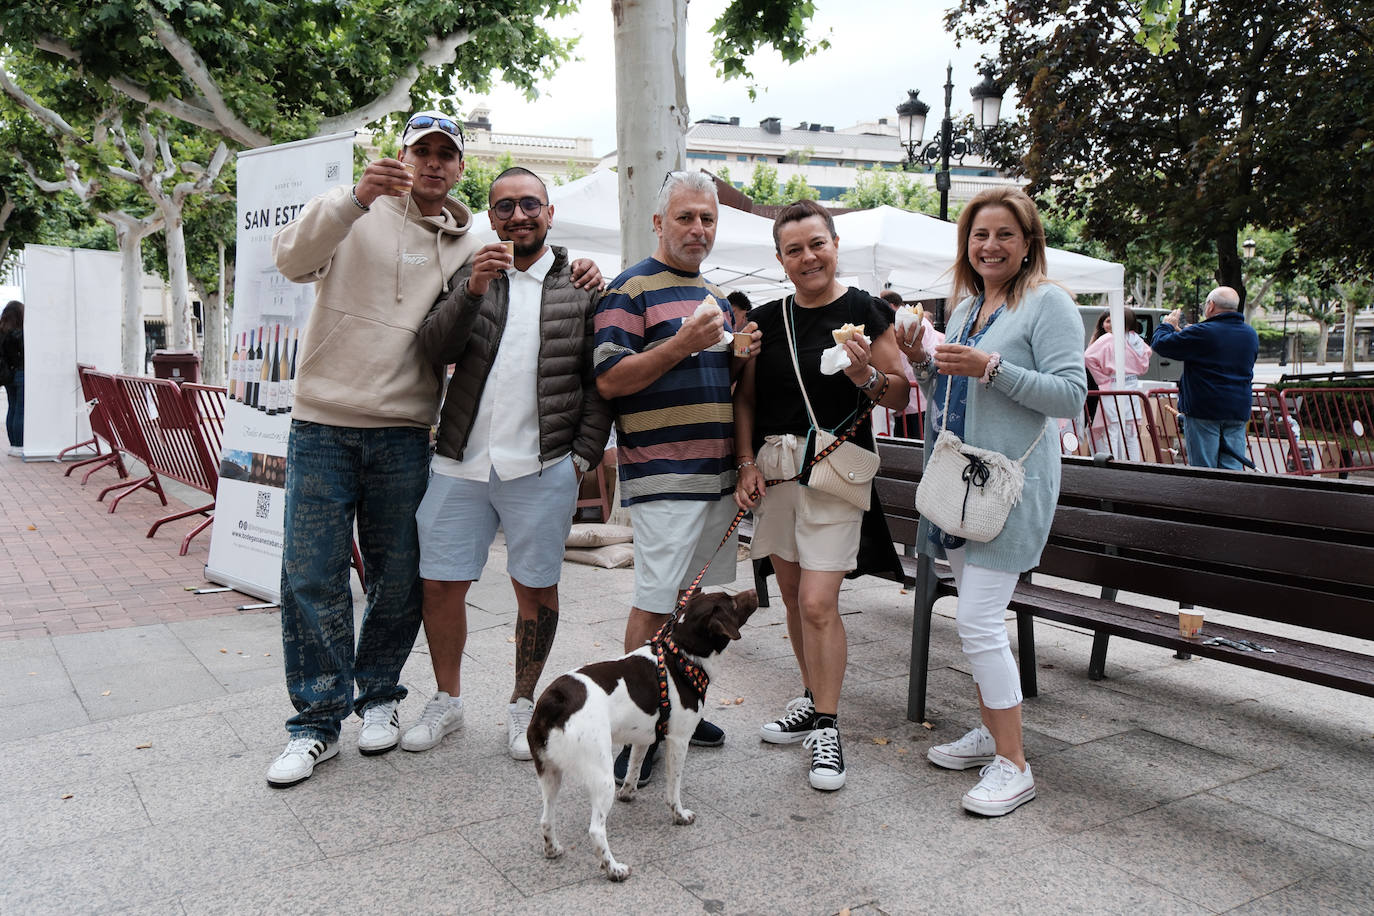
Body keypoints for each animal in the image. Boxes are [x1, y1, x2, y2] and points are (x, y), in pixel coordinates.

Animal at [524, 590, 763, 884]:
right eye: (733, 603)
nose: (754, 592)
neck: (682, 657)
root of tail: (555, 700)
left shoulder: (642, 737)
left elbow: (634, 767)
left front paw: (629, 793)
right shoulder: (678, 739)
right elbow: (673, 788)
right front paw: (679, 815)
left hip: (549, 771)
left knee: (546, 819)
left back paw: (553, 849)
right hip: (600, 776)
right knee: (596, 830)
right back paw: (614, 869)